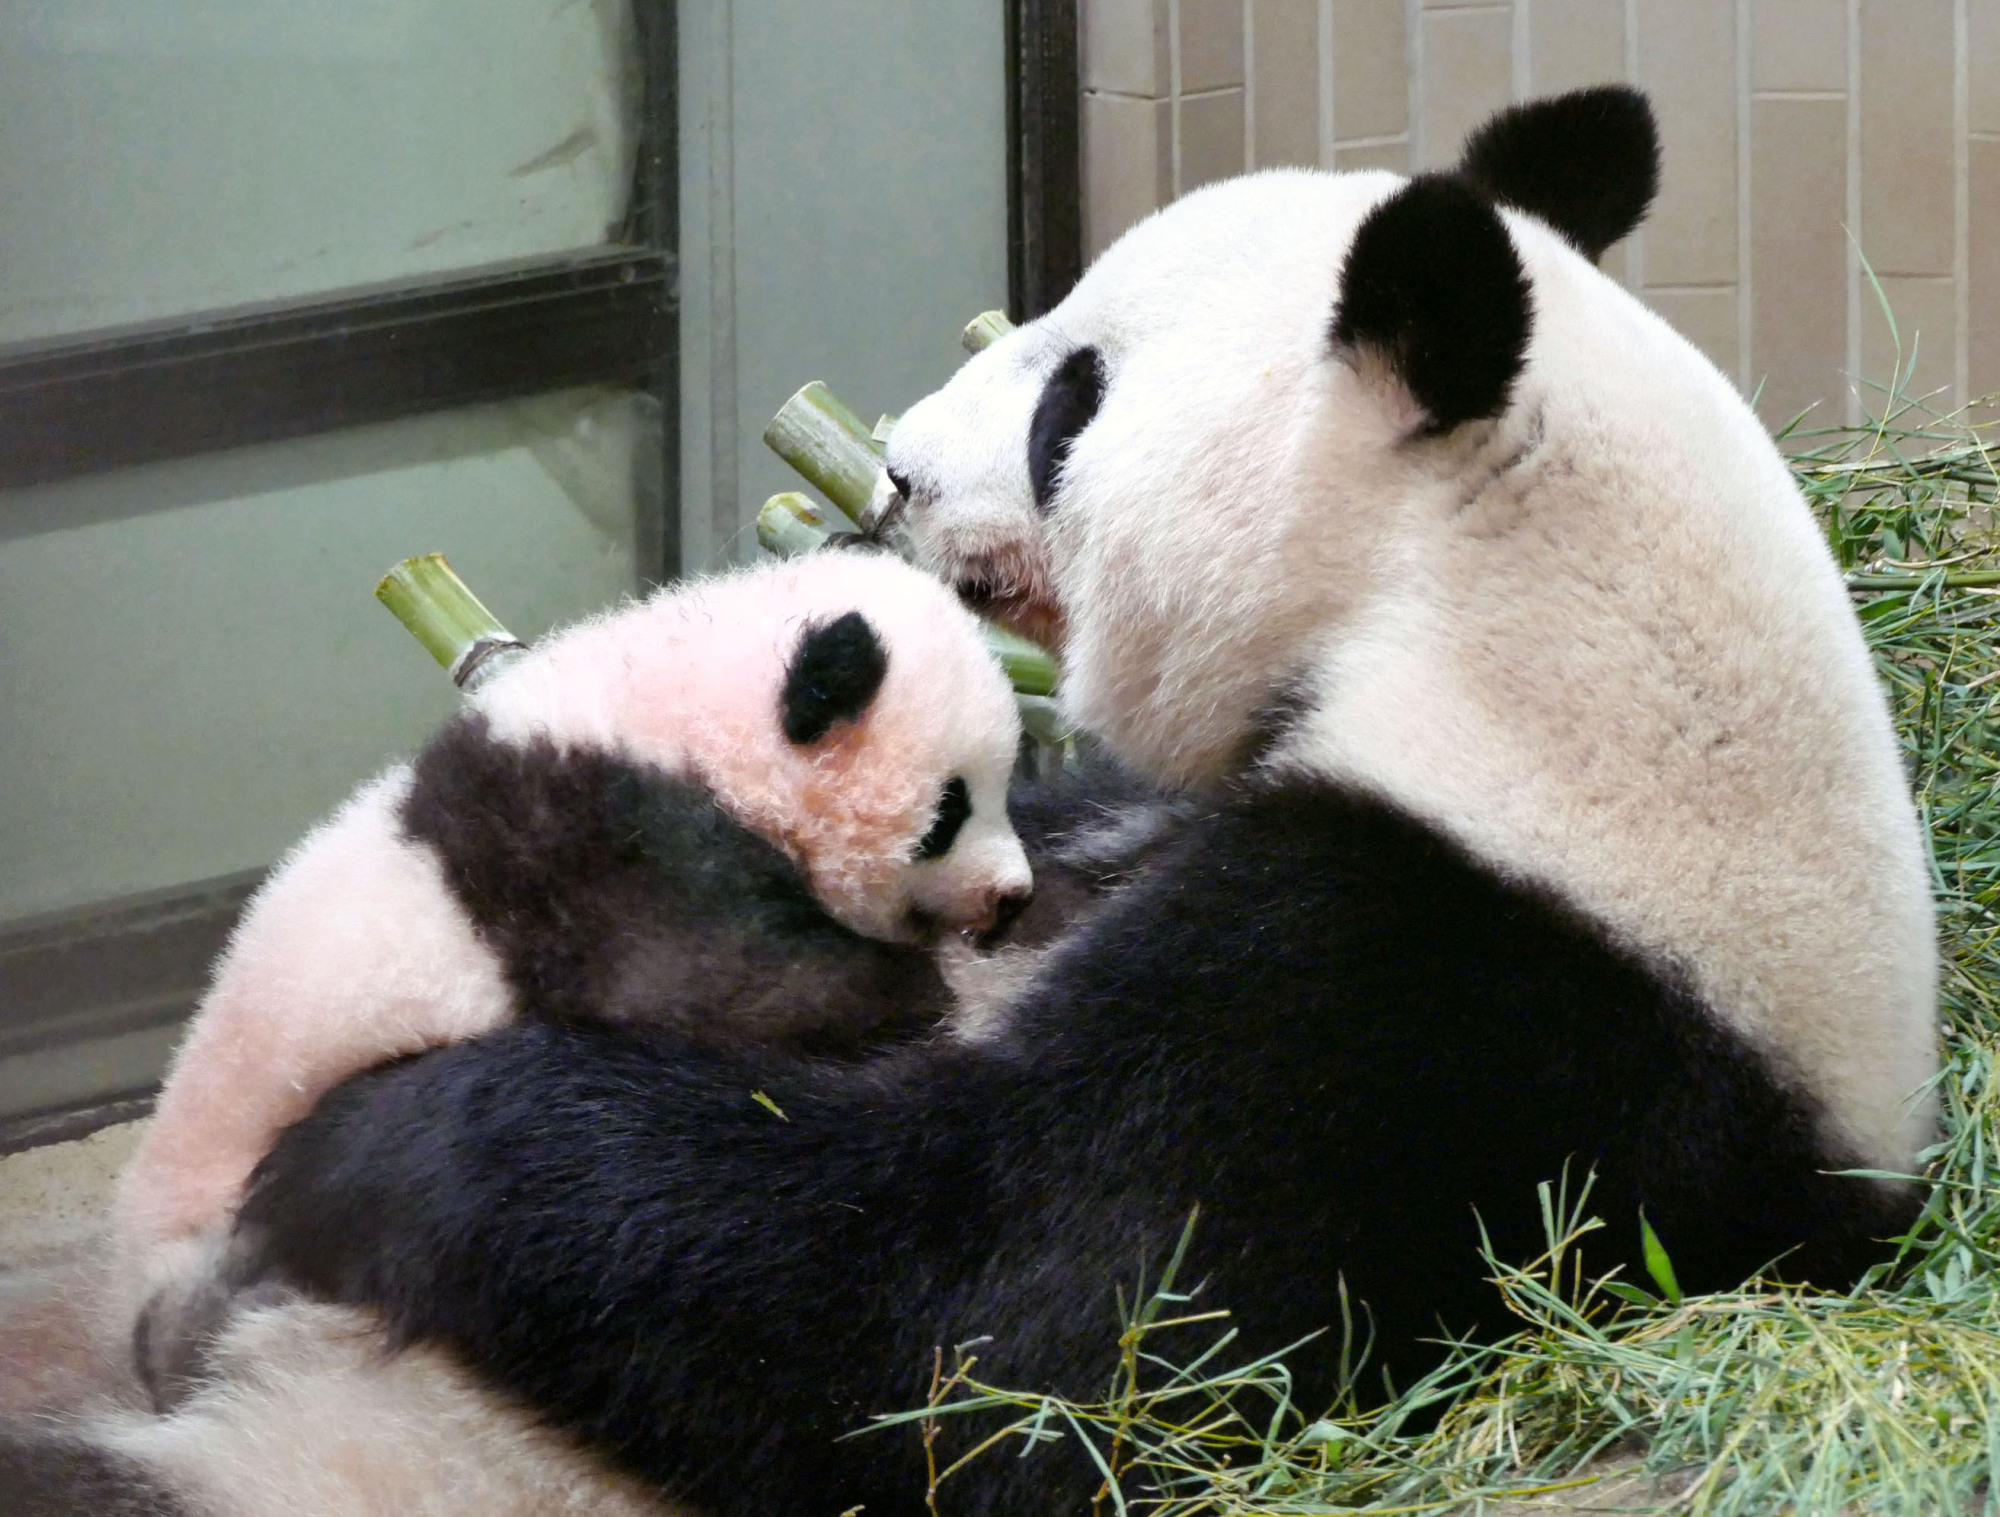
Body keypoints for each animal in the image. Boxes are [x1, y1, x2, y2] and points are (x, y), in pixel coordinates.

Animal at [0, 86, 1936, 1517]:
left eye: (1075, 396)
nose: (899, 470)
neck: (1501, 625)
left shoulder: (1445, 994)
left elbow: (991, 1336)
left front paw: (360, 1155)